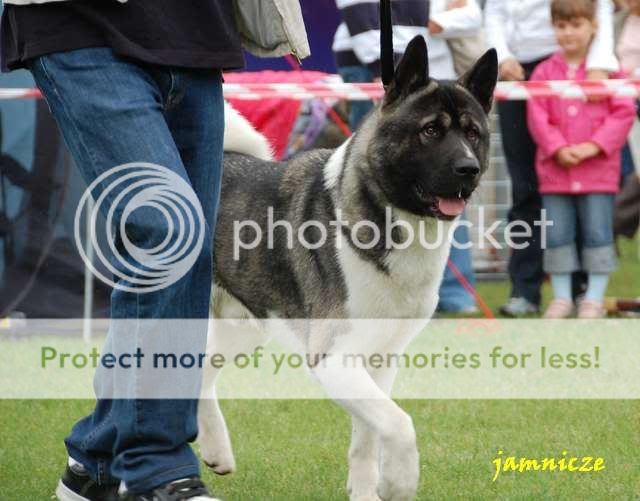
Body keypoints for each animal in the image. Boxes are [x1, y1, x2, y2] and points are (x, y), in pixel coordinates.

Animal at [197, 36, 498, 500]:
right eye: (430, 130)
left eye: (472, 133)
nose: (469, 169)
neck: (387, 212)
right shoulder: (333, 358)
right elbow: (398, 422)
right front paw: (399, 481)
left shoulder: (379, 358)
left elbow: (368, 436)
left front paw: (367, 490)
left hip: (242, 327)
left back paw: (216, 449)